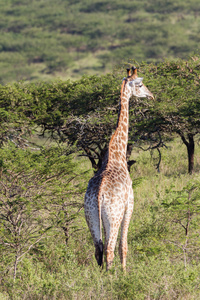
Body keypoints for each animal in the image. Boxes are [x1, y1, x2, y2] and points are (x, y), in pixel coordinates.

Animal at [84, 67, 155, 270]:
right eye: (140, 84)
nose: (151, 95)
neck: (117, 154)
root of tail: (99, 194)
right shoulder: (129, 205)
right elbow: (124, 246)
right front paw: (124, 272)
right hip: (113, 215)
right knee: (109, 249)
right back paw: (112, 277)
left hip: (91, 215)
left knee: (98, 249)